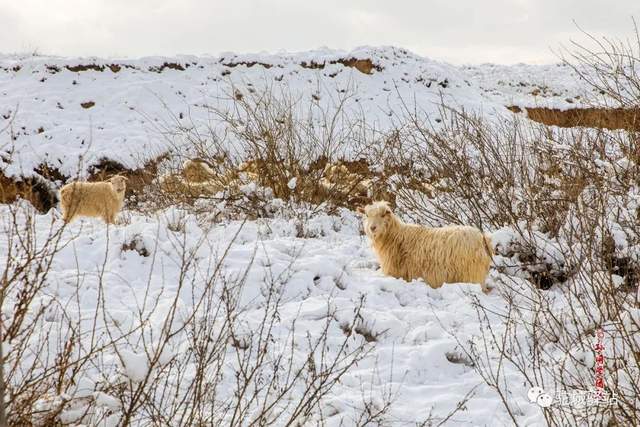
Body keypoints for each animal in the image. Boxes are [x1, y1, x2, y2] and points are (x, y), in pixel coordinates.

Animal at [360, 202, 496, 292]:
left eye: (383, 215)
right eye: (367, 215)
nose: (372, 228)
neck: (395, 236)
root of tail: (482, 237)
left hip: (471, 274)